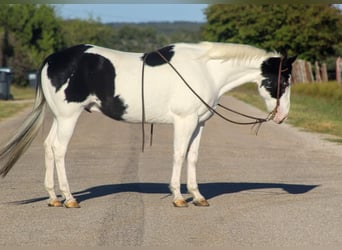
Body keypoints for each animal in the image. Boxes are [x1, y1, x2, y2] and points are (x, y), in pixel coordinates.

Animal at [0, 42, 296, 208]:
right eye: (283, 81)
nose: (282, 116)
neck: (205, 70)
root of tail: (52, 59)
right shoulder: (185, 121)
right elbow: (179, 155)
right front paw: (178, 196)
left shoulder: (199, 123)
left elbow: (193, 157)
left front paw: (197, 195)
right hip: (68, 117)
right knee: (59, 150)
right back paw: (69, 198)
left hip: (59, 117)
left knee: (48, 147)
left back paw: (53, 197)